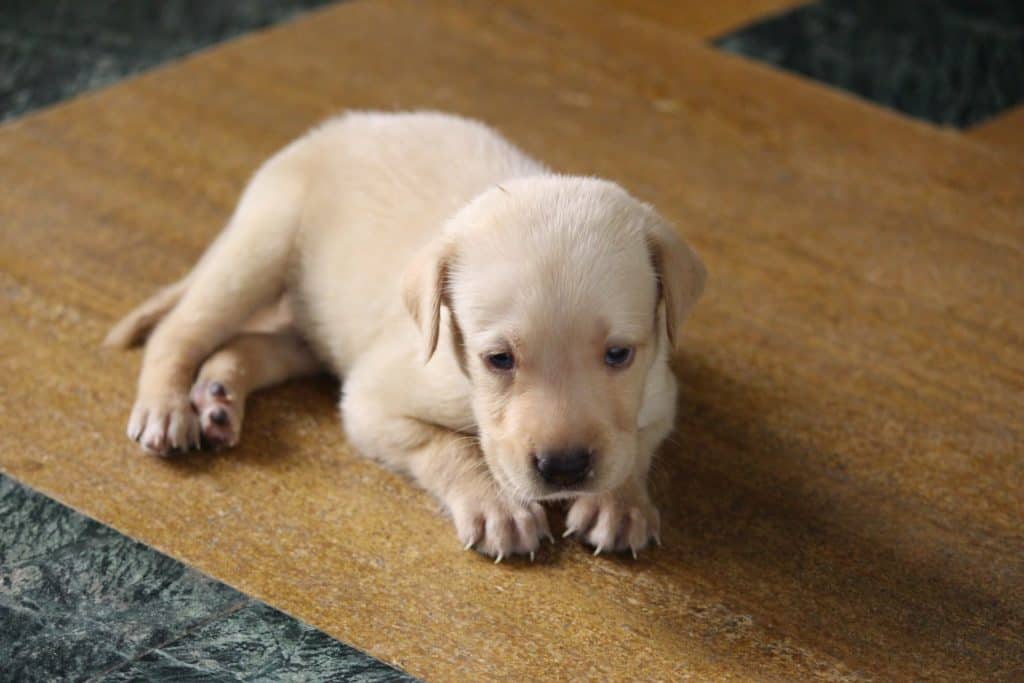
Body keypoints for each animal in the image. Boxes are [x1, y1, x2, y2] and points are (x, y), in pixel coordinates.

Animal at [108, 111, 708, 561]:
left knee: (252, 344)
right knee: (179, 330)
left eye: (619, 354)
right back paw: (167, 407)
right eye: (498, 359)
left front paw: (618, 503)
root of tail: (339, 125)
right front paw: (496, 505)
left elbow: (636, 444)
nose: (564, 468)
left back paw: (219, 398)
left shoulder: (659, 394)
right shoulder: (371, 403)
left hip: (319, 326)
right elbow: (446, 447)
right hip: (260, 247)